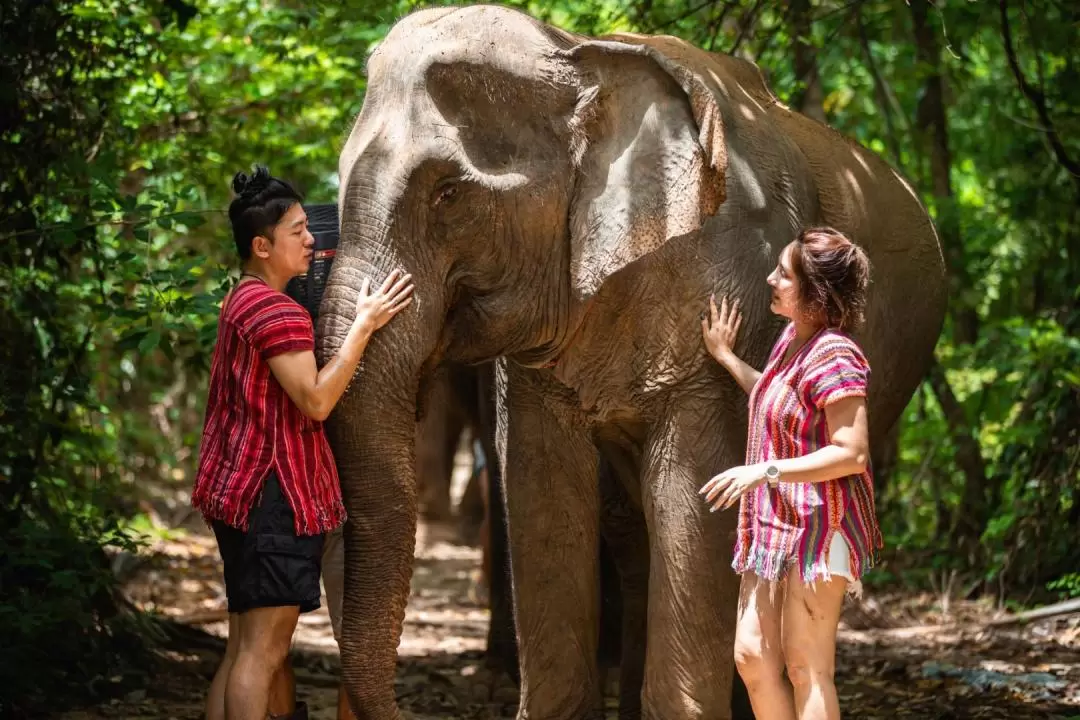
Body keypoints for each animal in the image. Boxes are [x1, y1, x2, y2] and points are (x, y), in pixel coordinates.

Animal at [315, 7, 946, 720]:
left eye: (449, 193)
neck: (582, 56)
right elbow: (540, 483)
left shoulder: (730, 277)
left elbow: (695, 495)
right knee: (633, 532)